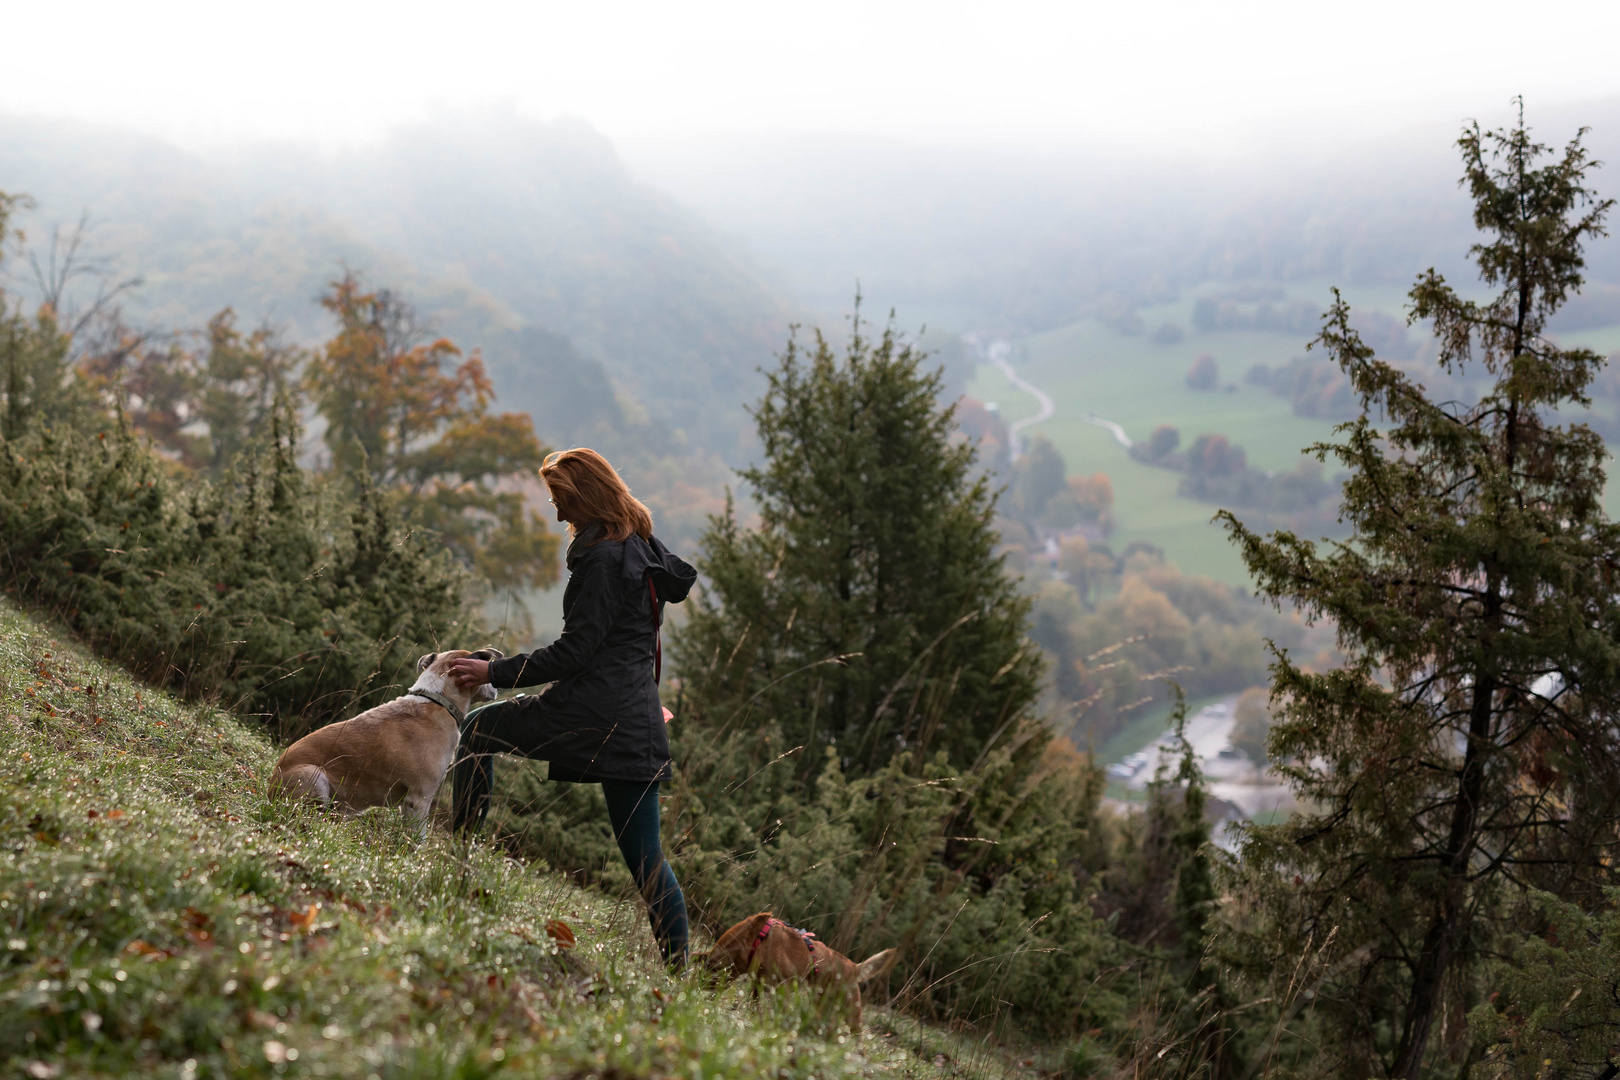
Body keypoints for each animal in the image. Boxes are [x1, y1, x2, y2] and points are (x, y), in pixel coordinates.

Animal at [699, 919, 900, 1036]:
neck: (759, 939)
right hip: (821, 1007)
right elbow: (755, 1005)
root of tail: (854, 967)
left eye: (708, 971)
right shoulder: (759, 984)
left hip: (851, 1013)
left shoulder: (785, 986)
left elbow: (780, 1011)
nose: (700, 991)